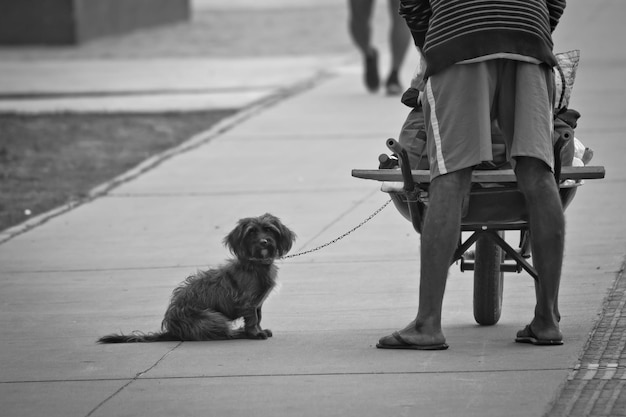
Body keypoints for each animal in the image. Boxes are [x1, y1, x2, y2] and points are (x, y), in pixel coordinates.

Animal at [97, 213, 294, 342]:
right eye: (251, 232)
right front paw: (255, 333)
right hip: (212, 317)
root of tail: (173, 331)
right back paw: (238, 333)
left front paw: (257, 330)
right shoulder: (247, 301)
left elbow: (257, 317)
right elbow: (253, 319)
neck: (256, 263)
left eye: (268, 229)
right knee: (221, 333)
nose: (264, 242)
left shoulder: (256, 303)